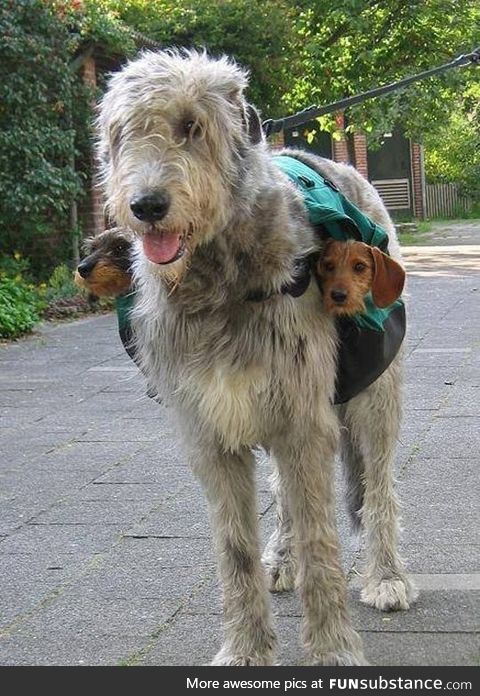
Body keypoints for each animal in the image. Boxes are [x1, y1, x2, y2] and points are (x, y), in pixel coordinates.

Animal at [97, 46, 416, 668]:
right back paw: (283, 557)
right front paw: (245, 650)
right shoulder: (210, 430)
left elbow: (322, 539)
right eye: (122, 134)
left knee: (379, 486)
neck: (217, 283)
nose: (146, 206)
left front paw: (333, 651)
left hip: (374, 393)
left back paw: (386, 575)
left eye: (192, 127)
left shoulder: (302, 417)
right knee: (285, 497)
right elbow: (235, 547)